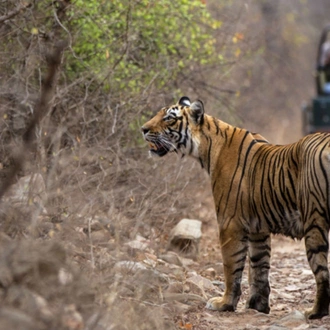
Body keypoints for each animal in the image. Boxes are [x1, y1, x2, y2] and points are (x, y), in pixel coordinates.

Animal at [142, 96, 330, 318]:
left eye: (169, 118)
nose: (143, 129)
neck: (206, 148)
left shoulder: (229, 223)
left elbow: (232, 266)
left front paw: (224, 303)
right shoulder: (258, 228)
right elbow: (259, 266)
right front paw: (257, 306)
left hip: (314, 220)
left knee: (322, 272)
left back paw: (316, 312)